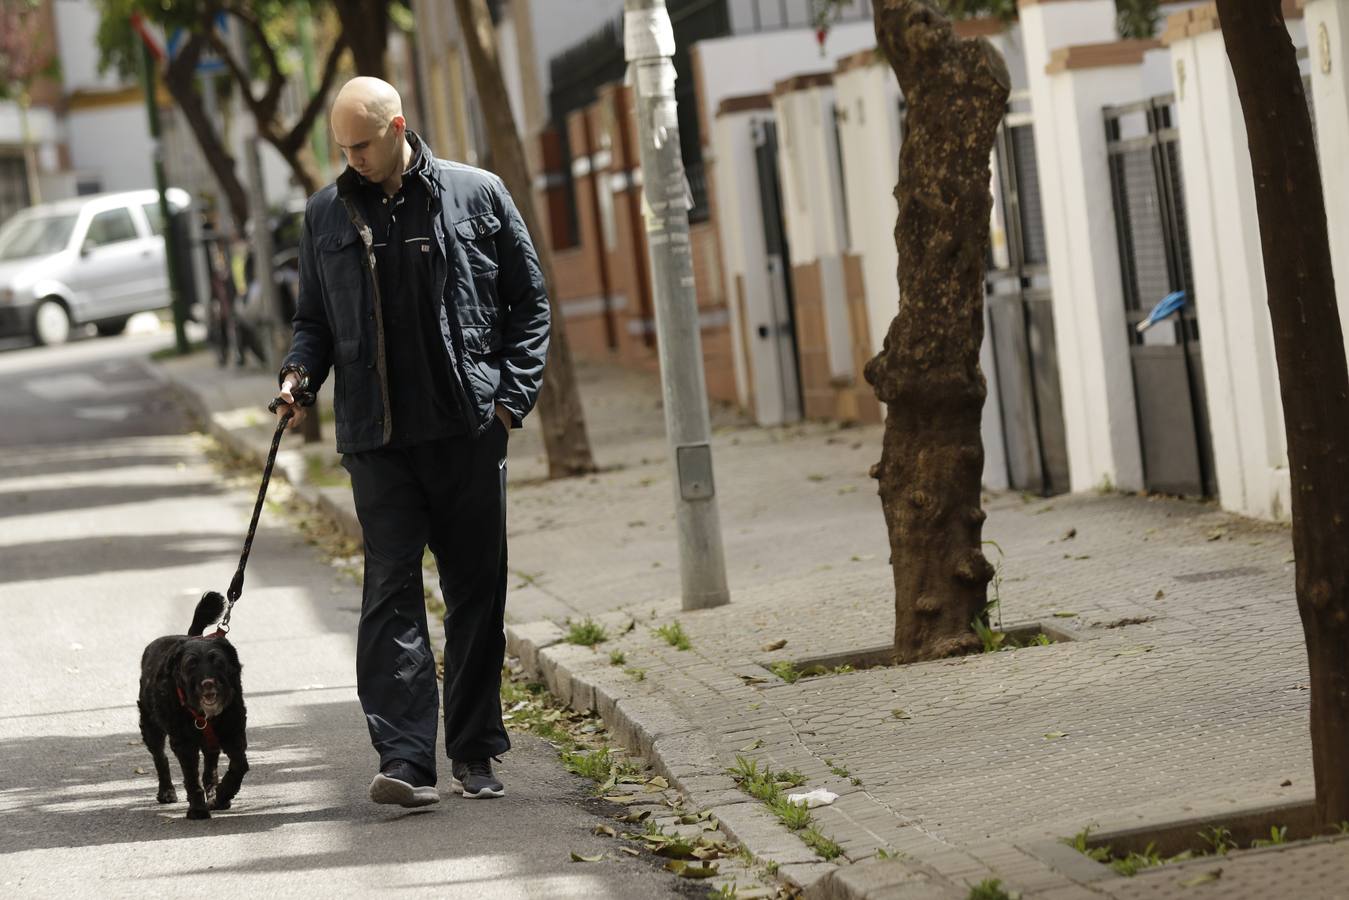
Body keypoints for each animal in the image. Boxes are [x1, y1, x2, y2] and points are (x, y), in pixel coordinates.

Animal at [139, 593, 250, 820]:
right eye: (191, 665)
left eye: (218, 662)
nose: (208, 683)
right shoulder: (184, 742)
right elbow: (191, 777)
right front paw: (198, 808)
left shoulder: (233, 732)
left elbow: (239, 765)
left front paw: (223, 795)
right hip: (150, 726)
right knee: (160, 758)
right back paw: (166, 791)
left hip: (211, 742)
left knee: (210, 766)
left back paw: (213, 791)